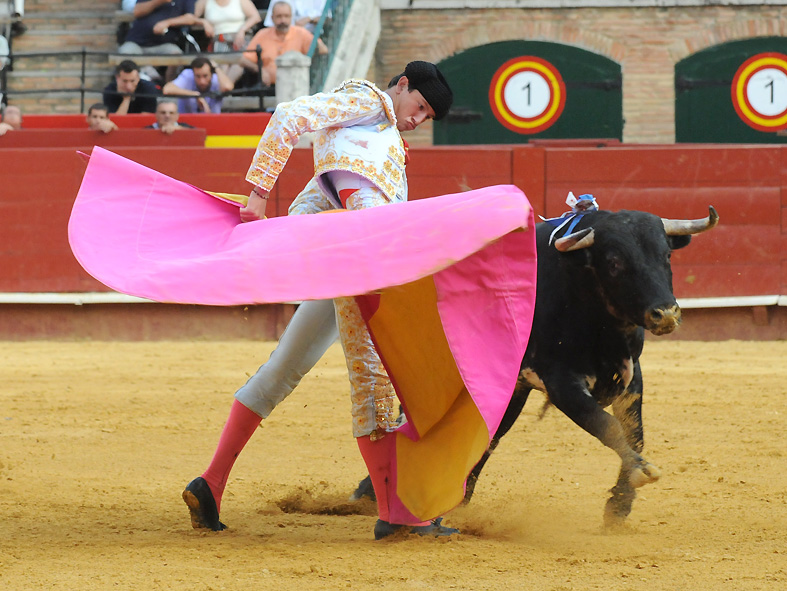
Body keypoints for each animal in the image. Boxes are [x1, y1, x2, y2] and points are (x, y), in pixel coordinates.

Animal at [356, 202, 720, 528]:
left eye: (666, 255)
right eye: (615, 262)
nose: (665, 314)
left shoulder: (630, 376)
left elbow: (634, 433)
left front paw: (618, 506)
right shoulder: (561, 382)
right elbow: (607, 426)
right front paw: (641, 472)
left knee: (485, 438)